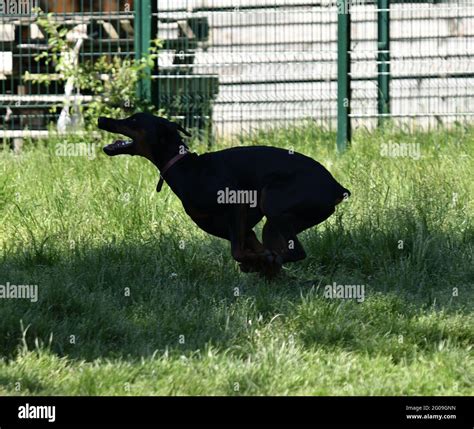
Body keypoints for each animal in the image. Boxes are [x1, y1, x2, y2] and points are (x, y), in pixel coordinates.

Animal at [98, 112, 350, 276]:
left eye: (134, 120)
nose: (102, 119)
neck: (186, 168)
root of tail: (337, 187)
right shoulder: (244, 230)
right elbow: (250, 250)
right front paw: (260, 265)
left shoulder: (235, 205)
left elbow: (237, 252)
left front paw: (258, 262)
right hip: (275, 224)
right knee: (283, 246)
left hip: (273, 203)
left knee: (296, 251)